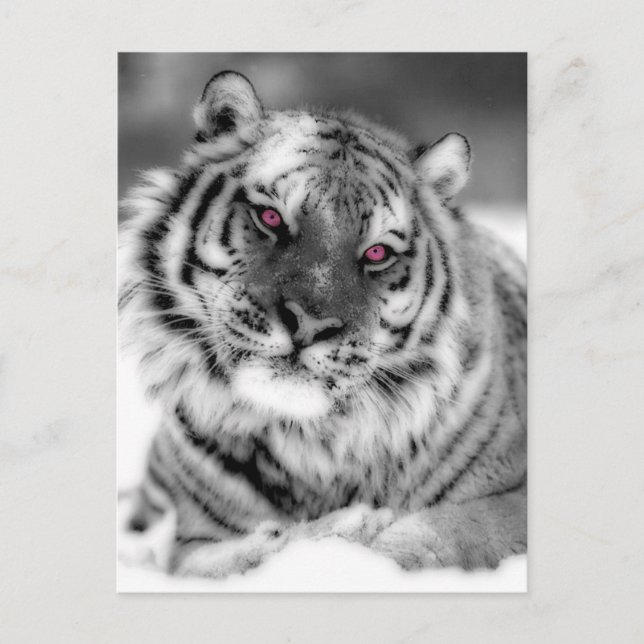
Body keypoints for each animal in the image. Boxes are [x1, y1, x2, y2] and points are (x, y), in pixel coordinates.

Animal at [118, 70, 527, 579]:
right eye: (270, 216)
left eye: (377, 252)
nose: (309, 325)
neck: (310, 447)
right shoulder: (191, 541)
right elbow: (234, 559)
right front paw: (339, 529)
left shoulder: (509, 503)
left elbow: (429, 537)